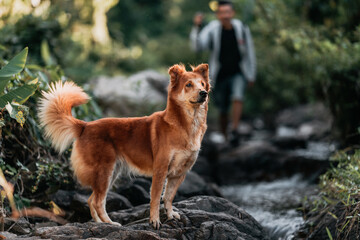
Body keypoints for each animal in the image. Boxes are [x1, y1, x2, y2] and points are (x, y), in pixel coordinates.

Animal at [38, 62, 210, 228]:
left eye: (202, 84)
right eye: (188, 84)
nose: (204, 93)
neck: (185, 124)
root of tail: (85, 126)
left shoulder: (179, 173)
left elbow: (169, 197)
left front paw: (170, 214)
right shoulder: (160, 170)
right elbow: (155, 198)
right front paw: (154, 220)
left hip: (110, 173)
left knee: (91, 200)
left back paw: (100, 223)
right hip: (105, 171)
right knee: (98, 201)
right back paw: (110, 223)